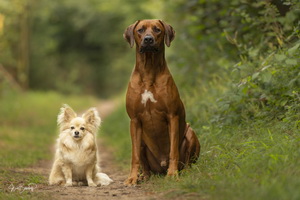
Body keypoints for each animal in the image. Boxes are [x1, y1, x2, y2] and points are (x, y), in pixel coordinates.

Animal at [123, 19, 200, 185]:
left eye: (157, 30)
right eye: (140, 30)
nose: (148, 40)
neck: (148, 72)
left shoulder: (172, 116)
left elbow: (173, 150)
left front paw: (172, 174)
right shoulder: (134, 120)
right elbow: (134, 155)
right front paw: (132, 178)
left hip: (190, 132)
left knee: (187, 162)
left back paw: (184, 171)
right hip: (142, 141)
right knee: (146, 166)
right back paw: (144, 176)